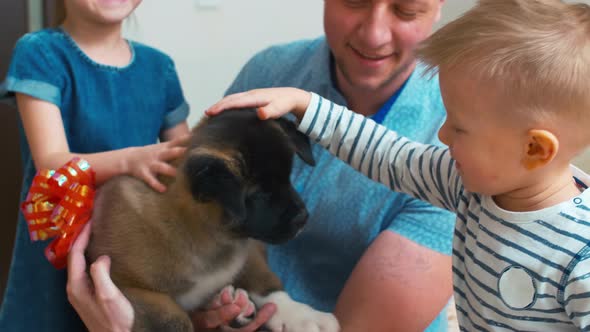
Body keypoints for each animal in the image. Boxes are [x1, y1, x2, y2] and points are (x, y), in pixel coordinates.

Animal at [85, 111, 340, 332]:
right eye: (260, 194)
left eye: (288, 178)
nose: (303, 218)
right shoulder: (128, 286)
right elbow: (173, 320)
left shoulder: (248, 250)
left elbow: (266, 282)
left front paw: (301, 315)